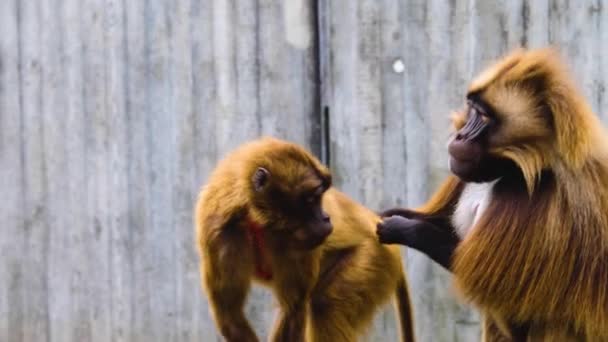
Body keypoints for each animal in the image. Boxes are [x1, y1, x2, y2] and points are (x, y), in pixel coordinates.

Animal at [195, 137, 414, 342]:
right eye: (311, 199)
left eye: (319, 197)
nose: (325, 218)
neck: (256, 221)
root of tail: (373, 219)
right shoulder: (219, 232)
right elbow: (231, 317)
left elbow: (292, 309)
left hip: (375, 254)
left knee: (325, 302)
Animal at [376, 47, 608, 340]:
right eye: (472, 110)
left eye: (484, 117)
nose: (460, 136)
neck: (511, 168)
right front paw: (381, 214)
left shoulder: (528, 195)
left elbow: (483, 275)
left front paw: (401, 228)